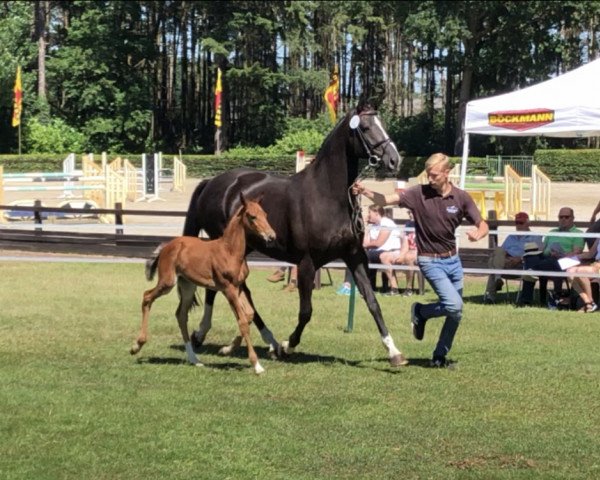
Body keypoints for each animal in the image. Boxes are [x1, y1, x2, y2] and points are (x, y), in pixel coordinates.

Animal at [131, 193, 276, 374]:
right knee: (147, 296)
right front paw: (257, 365)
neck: (230, 251)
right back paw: (137, 346)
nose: (271, 236)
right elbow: (242, 321)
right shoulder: (228, 289)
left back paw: (194, 359)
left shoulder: (239, 286)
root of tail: (167, 246)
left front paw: (226, 349)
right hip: (168, 282)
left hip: (187, 285)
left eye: (265, 214)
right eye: (252, 216)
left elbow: (249, 315)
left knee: (181, 314)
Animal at [183, 104, 408, 368]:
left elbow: (373, 302)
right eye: (364, 127)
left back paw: (260, 342)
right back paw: (206, 335)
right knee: (222, 289)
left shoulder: (354, 256)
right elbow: (306, 311)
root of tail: (212, 182)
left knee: (237, 292)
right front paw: (289, 344)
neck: (327, 195)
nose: (394, 159)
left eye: (381, 123)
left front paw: (394, 352)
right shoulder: (307, 263)